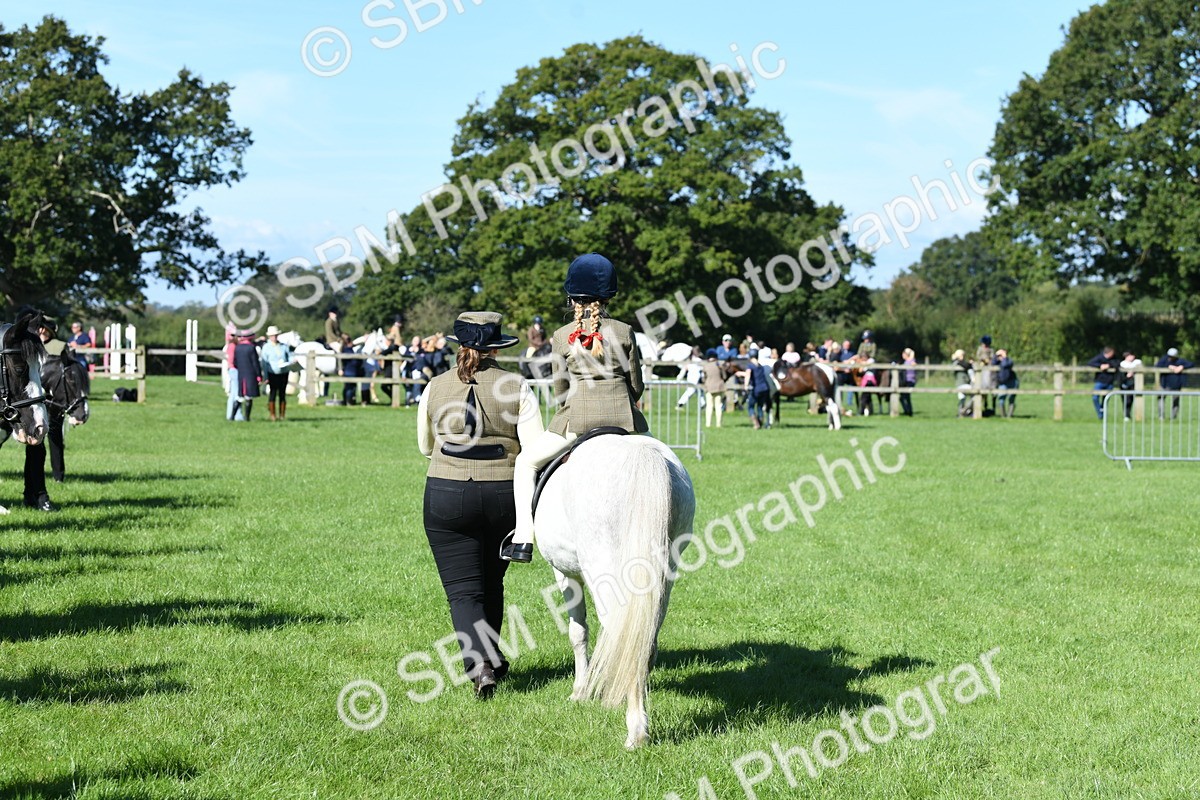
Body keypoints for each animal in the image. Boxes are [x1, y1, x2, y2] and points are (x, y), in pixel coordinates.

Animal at [536, 434, 696, 749]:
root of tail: (641, 455)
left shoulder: (566, 575)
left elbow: (578, 632)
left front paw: (580, 690)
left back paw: (636, 730)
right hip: (664, 577)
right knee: (645, 641)